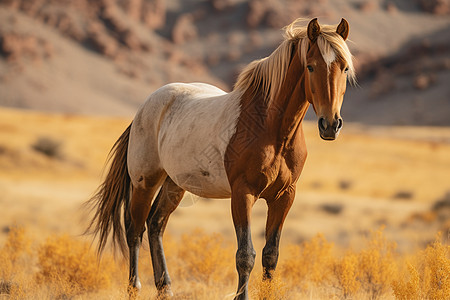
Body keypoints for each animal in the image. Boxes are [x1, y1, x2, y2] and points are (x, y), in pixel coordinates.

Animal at [87, 17, 356, 298]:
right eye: (311, 66)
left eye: (345, 68)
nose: (330, 125)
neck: (271, 128)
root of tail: (144, 108)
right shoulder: (242, 194)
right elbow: (245, 255)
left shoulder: (284, 197)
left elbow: (271, 255)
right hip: (145, 182)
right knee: (135, 232)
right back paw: (134, 288)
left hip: (175, 184)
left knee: (156, 224)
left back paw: (165, 288)